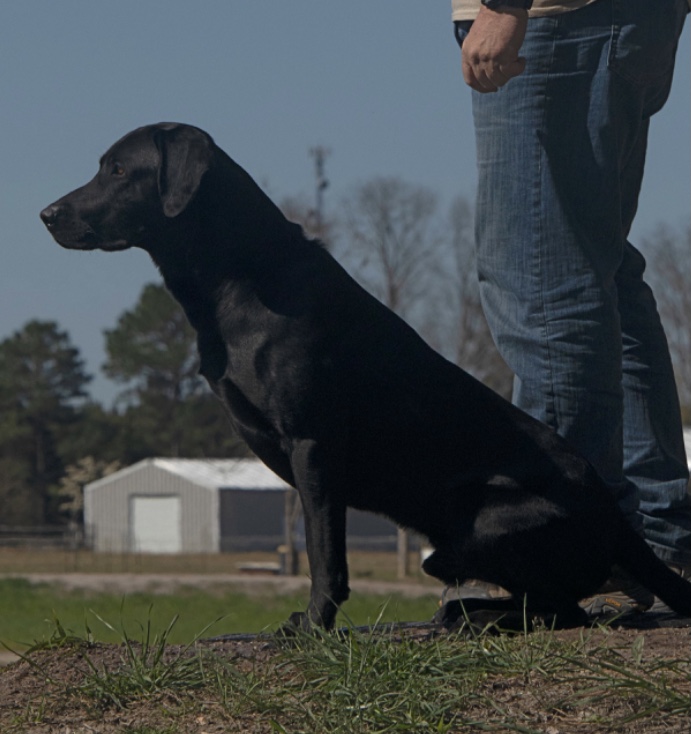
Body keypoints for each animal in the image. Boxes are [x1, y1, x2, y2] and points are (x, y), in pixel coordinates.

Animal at [39, 125, 691, 632]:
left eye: (118, 169)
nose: (46, 215)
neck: (239, 277)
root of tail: (616, 514)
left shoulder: (313, 443)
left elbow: (323, 551)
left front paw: (314, 625)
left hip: (479, 526)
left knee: (564, 609)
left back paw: (479, 619)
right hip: (449, 550)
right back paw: (465, 613)